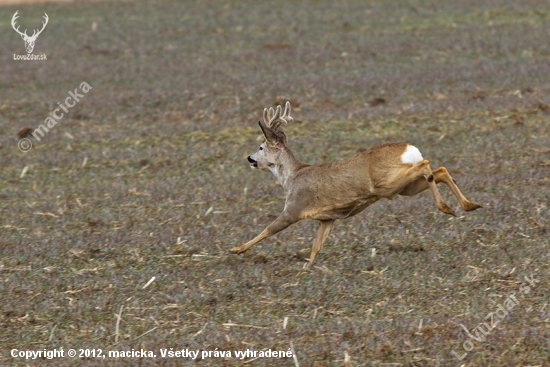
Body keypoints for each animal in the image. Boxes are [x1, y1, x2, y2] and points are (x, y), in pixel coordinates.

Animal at [233, 102, 484, 268]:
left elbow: (267, 230)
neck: (292, 177)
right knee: (440, 171)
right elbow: (316, 246)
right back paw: (468, 205)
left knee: (428, 165)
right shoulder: (328, 218)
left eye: (261, 146)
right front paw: (307, 268)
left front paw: (236, 249)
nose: (249, 158)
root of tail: (409, 148)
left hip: (389, 183)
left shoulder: (294, 208)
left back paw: (446, 206)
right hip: (406, 187)